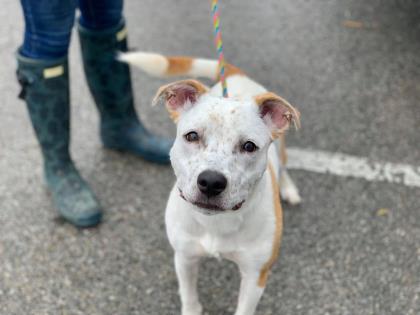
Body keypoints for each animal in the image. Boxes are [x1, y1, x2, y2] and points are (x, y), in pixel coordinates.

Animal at [121, 52, 302, 315]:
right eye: (192, 136)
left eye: (249, 146)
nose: (211, 181)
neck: (217, 222)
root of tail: (235, 74)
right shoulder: (184, 257)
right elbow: (189, 297)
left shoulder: (256, 275)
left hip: (282, 147)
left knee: (285, 166)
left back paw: (288, 188)